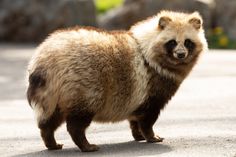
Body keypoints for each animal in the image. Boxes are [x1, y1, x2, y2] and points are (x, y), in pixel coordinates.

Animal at [26, 10, 206, 151]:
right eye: (172, 42)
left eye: (188, 42)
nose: (181, 55)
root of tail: (47, 57)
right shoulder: (153, 86)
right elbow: (147, 117)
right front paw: (150, 135)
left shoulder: (139, 95)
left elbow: (135, 116)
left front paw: (138, 134)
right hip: (83, 83)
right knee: (77, 120)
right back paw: (84, 143)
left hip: (54, 92)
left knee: (50, 117)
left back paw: (50, 140)